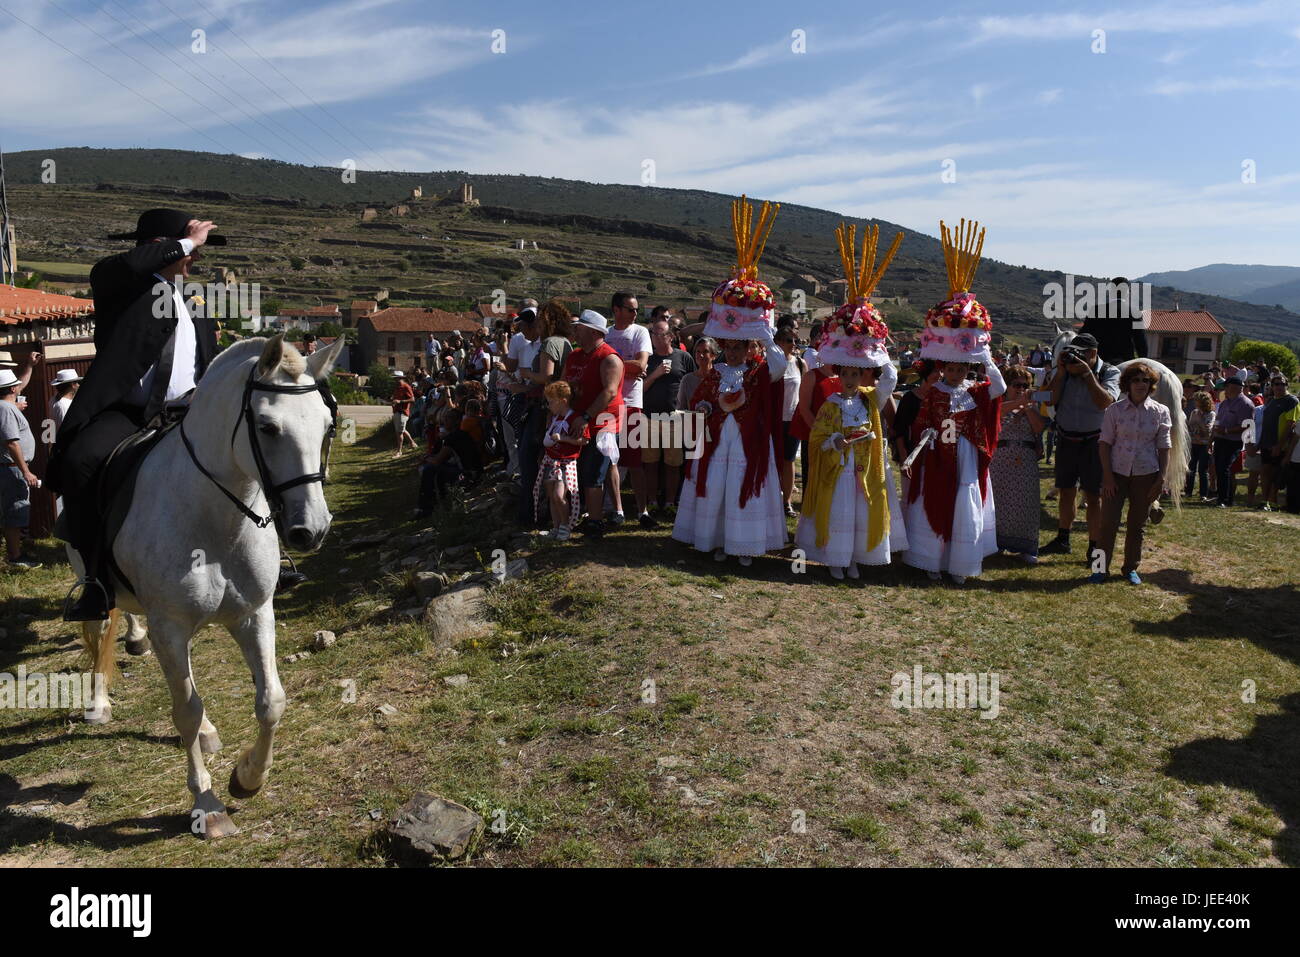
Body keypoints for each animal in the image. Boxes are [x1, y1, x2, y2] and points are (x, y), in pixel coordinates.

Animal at [71, 335, 343, 837]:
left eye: (327, 425)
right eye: (267, 427)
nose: (310, 530)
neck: (214, 519)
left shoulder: (254, 614)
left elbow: (271, 701)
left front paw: (247, 778)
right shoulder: (170, 626)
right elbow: (184, 709)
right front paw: (207, 803)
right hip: (90, 579)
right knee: (101, 633)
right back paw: (99, 704)